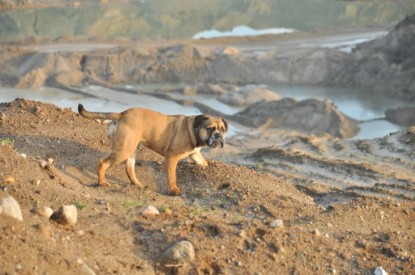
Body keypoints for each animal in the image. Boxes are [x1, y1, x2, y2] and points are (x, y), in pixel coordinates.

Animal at [78, 104, 228, 196]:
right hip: (123, 150)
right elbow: (172, 176)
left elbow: (204, 163)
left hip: (130, 148)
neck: (194, 129)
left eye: (222, 129)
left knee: (129, 168)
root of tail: (121, 115)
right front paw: (174, 190)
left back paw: (137, 184)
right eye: (210, 129)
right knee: (102, 163)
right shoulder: (172, 157)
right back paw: (102, 182)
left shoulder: (195, 154)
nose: (218, 135)